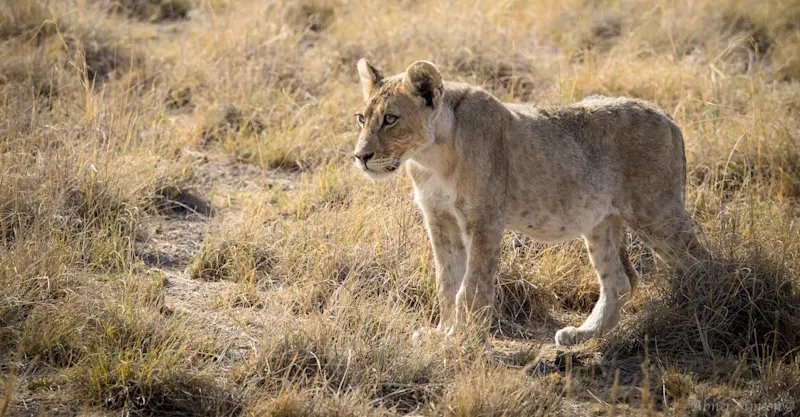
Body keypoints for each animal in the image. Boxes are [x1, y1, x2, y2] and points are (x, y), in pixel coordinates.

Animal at [352, 58, 709, 346]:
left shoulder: (484, 221)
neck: (430, 157)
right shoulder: (439, 220)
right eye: (361, 118)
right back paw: (580, 335)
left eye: (390, 119)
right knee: (619, 282)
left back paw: (699, 315)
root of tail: (667, 116)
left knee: (701, 263)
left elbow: (472, 286)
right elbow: (446, 282)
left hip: (657, 213)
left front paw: (463, 341)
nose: (360, 156)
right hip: (601, 223)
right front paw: (442, 334)